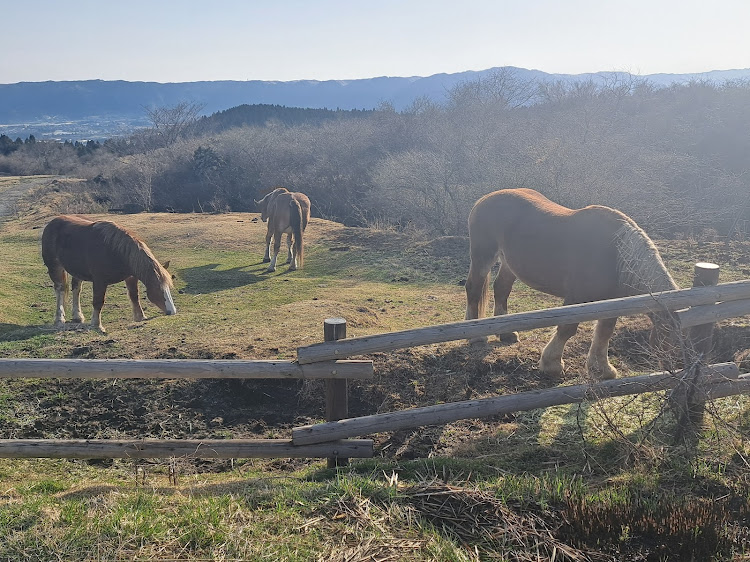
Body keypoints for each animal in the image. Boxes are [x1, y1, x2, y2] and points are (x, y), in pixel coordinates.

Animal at [43, 213, 178, 328]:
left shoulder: (131, 277)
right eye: (158, 289)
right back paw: (59, 318)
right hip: (55, 267)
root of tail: (52, 223)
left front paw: (140, 317)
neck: (115, 251)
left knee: (76, 289)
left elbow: (134, 296)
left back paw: (78, 316)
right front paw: (96, 325)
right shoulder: (99, 281)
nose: (172, 311)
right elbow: (98, 301)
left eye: (168, 288)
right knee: (60, 290)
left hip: (77, 270)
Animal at [468, 189, 680, 380]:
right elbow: (567, 328)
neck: (614, 254)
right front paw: (552, 365)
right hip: (482, 257)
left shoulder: (611, 301)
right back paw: (476, 336)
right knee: (474, 289)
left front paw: (602, 370)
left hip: (508, 264)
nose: (679, 374)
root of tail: (483, 199)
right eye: (679, 341)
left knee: (501, 289)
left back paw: (506, 334)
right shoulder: (576, 297)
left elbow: (605, 331)